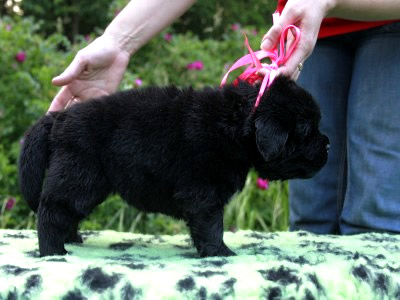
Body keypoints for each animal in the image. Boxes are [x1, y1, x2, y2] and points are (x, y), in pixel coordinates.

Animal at [18, 76, 330, 256]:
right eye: (307, 130)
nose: (328, 145)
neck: (234, 124)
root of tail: (58, 118)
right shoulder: (204, 192)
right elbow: (211, 224)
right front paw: (220, 253)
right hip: (79, 175)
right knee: (52, 210)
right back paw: (53, 251)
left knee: (67, 212)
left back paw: (71, 239)